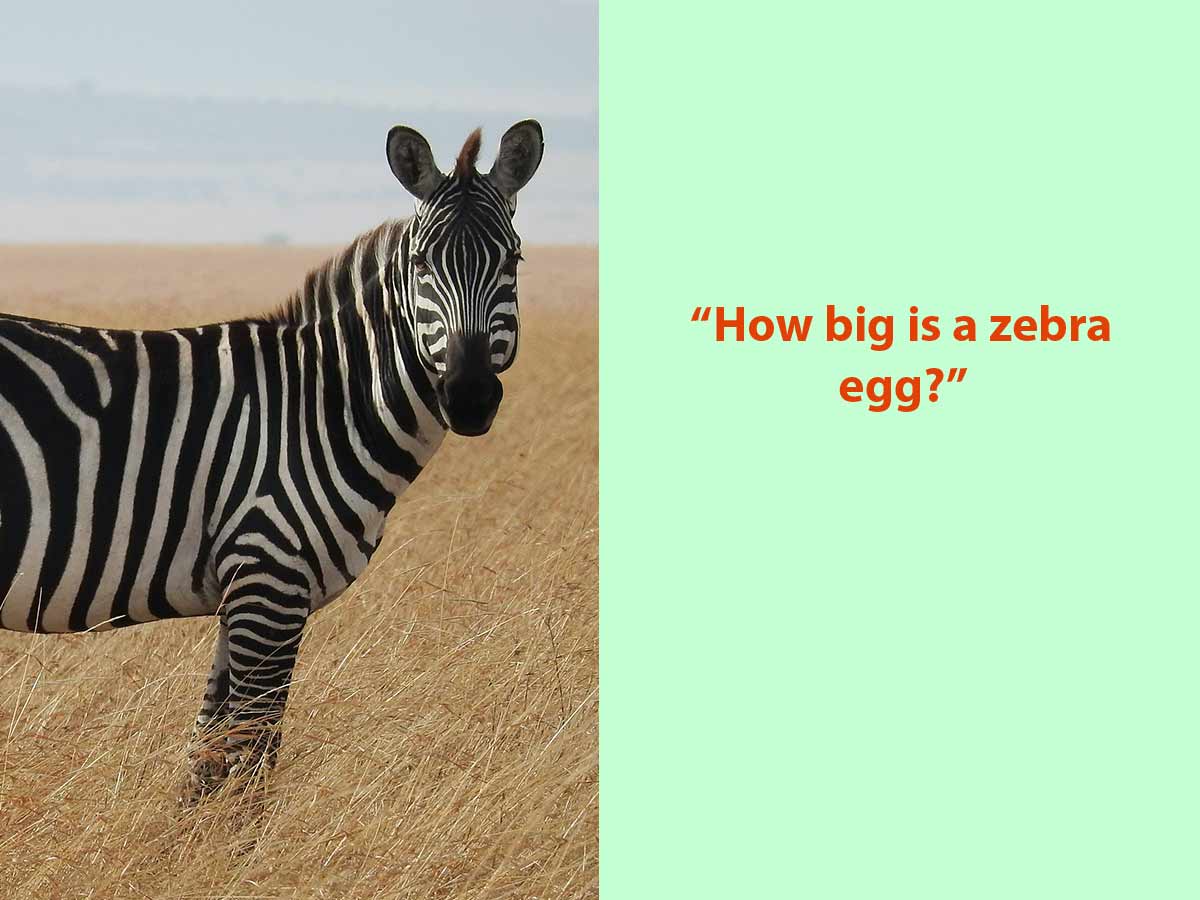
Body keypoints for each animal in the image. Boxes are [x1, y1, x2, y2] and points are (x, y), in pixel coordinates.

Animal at [0, 120, 544, 804]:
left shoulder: (246, 591)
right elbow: (253, 755)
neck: (324, 403)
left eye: (513, 260)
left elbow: (211, 753)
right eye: (420, 263)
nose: (469, 397)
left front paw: (192, 835)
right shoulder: (270, 579)